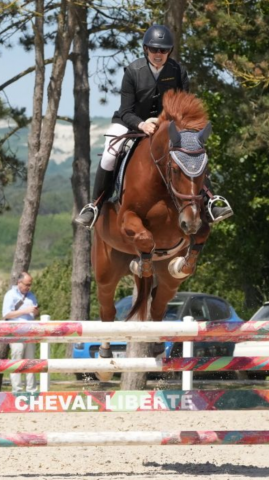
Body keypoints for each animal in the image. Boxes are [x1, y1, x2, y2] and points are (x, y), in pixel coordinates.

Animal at [91, 90, 210, 374]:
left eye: (205, 170)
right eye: (176, 168)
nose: (190, 223)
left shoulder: (192, 218)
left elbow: (200, 235)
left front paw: (183, 264)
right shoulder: (127, 218)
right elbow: (144, 237)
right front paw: (141, 264)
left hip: (166, 280)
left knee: (157, 304)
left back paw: (156, 344)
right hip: (105, 268)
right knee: (107, 310)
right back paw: (104, 358)